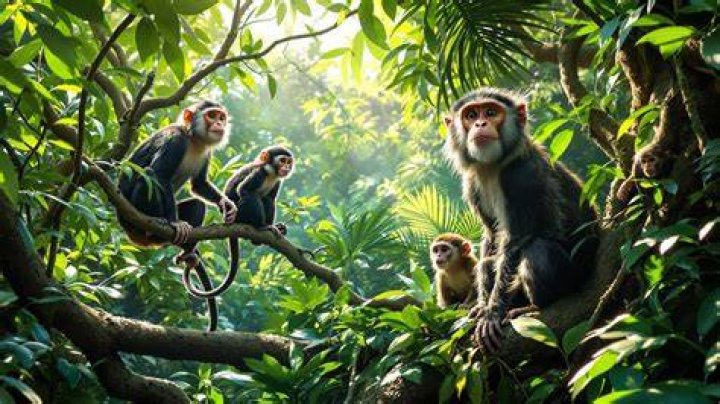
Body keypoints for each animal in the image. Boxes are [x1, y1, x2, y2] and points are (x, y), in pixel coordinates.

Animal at [118, 100, 237, 332]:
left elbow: (199, 185)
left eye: (221, 116)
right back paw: (159, 221)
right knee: (151, 175)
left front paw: (227, 204)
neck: (193, 139)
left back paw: (188, 252)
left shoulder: (205, 153)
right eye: (212, 115)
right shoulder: (175, 141)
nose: (219, 123)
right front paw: (174, 222)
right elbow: (161, 174)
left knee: (197, 204)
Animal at [180, 145, 294, 300]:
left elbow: (270, 199)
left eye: (288, 162)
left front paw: (277, 227)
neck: (271, 173)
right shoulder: (259, 173)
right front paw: (263, 226)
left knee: (267, 199)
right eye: (282, 160)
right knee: (253, 195)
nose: (287, 167)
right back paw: (261, 226)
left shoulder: (277, 181)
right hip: (241, 214)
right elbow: (244, 190)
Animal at [443, 87, 598, 354]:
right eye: (471, 115)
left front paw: (492, 313)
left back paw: (534, 307)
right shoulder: (471, 183)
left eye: (491, 112)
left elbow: (516, 241)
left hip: (575, 278)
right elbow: (492, 235)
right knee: (488, 262)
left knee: (537, 249)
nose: (480, 123)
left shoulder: (521, 177)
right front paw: (481, 305)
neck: (494, 166)